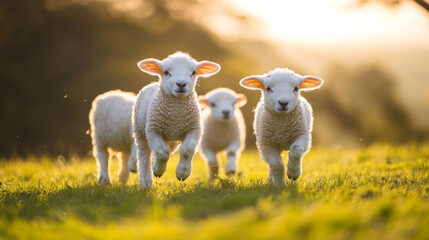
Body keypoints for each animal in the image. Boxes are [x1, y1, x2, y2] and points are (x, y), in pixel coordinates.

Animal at [133, 51, 221, 188]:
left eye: (193, 72)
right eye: (166, 72)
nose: (181, 84)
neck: (176, 116)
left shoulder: (194, 129)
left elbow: (187, 149)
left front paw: (182, 173)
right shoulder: (152, 130)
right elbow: (162, 152)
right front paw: (158, 170)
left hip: (171, 141)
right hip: (140, 131)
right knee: (144, 156)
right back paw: (147, 183)